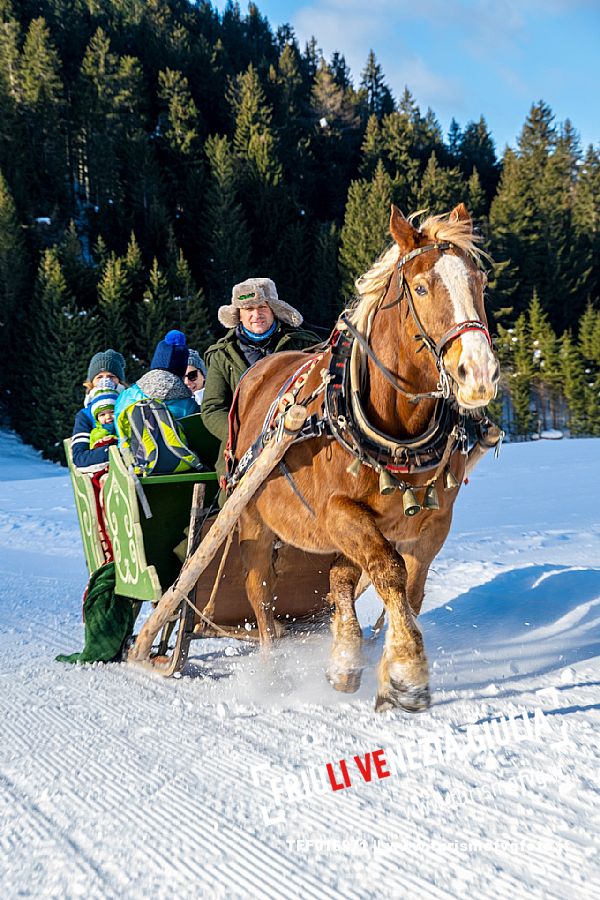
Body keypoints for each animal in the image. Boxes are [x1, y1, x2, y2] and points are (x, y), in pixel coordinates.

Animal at [232, 204, 500, 712]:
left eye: (478, 282)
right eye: (421, 287)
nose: (478, 373)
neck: (397, 433)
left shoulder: (434, 521)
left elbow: (410, 589)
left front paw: (386, 668)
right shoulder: (338, 511)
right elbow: (390, 573)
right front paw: (408, 675)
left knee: (338, 576)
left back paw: (344, 660)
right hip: (253, 520)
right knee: (258, 592)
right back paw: (273, 673)